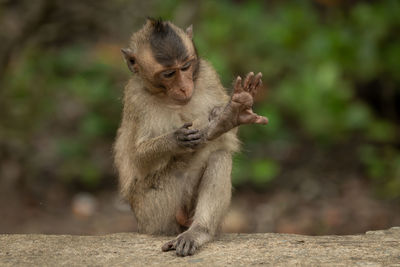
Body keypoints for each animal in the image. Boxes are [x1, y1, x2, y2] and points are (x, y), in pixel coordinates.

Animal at [112, 18, 268, 258]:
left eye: (185, 67)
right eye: (168, 74)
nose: (185, 87)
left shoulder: (207, 74)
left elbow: (229, 136)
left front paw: (231, 113)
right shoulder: (136, 98)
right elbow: (138, 157)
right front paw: (176, 139)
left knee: (219, 156)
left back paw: (199, 231)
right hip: (153, 210)